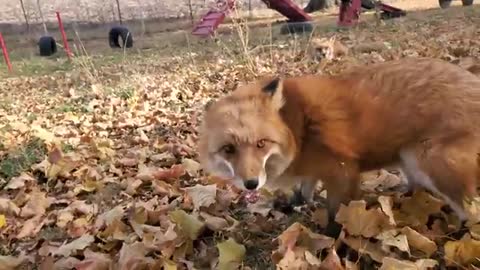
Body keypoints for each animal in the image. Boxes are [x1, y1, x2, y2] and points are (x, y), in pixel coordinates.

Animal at [197, 56, 480, 236]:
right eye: (228, 149)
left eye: (261, 143)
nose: (251, 184)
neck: (299, 129)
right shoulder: (312, 172)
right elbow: (304, 192)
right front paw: (292, 204)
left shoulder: (343, 171)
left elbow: (337, 216)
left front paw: (332, 244)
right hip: (409, 163)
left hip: (428, 162)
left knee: (471, 210)